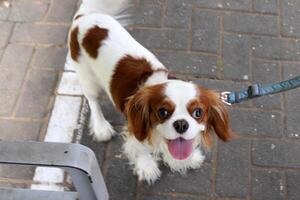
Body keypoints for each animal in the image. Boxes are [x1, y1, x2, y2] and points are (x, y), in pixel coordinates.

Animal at [68, 0, 232, 184]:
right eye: (162, 112)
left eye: (198, 112)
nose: (181, 124)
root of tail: (85, 16)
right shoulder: (135, 124)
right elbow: (141, 147)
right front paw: (146, 167)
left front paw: (182, 159)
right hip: (86, 76)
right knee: (93, 101)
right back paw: (101, 127)